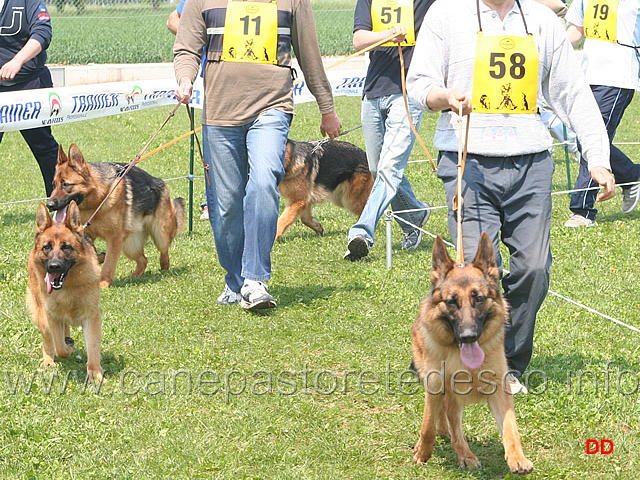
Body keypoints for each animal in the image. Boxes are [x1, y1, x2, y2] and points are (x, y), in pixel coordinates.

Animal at [26, 202, 103, 382]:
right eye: (47, 247)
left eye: (66, 247)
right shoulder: (52, 317)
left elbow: (93, 347)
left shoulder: (91, 317)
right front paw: (67, 348)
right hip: (41, 316)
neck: (68, 287)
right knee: (48, 341)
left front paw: (95, 373)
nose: (54, 267)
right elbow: (60, 348)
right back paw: (49, 359)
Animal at [46, 144, 186, 286]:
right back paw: (134, 275)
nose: (49, 205)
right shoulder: (87, 235)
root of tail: (160, 182)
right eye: (53, 185)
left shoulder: (114, 239)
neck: (99, 198)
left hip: (160, 235)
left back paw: (164, 269)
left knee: (164, 253)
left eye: (65, 184)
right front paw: (98, 258)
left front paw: (103, 284)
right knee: (143, 260)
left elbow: (109, 264)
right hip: (130, 245)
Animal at [412, 234, 532, 474]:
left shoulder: (499, 390)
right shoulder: (436, 384)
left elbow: (510, 427)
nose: (468, 337)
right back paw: (462, 453)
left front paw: (517, 458)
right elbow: (427, 424)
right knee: (447, 418)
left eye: (479, 298)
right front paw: (423, 452)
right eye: (451, 301)